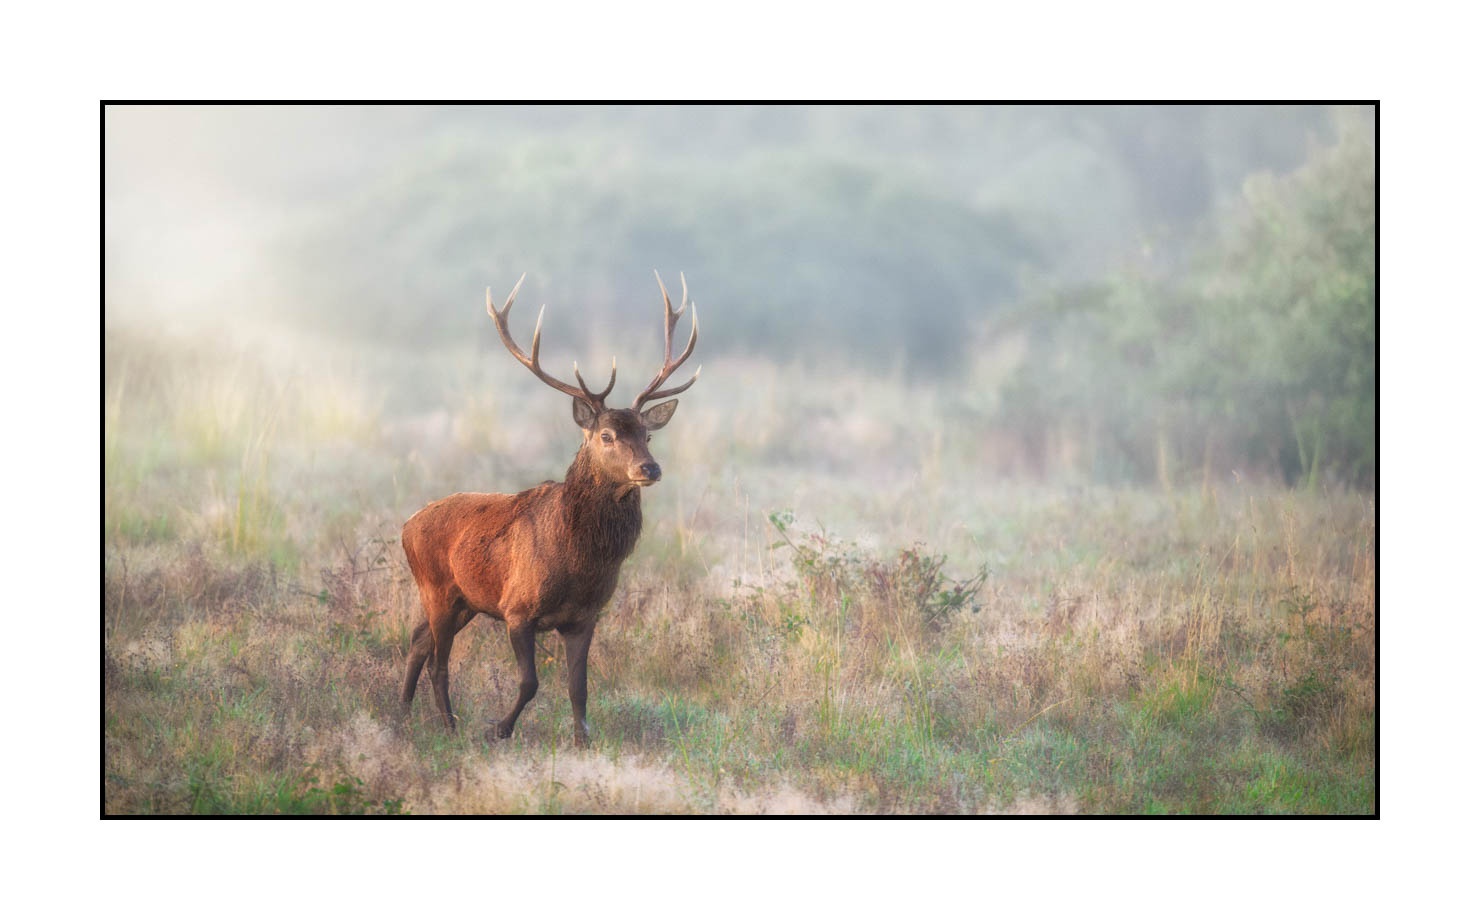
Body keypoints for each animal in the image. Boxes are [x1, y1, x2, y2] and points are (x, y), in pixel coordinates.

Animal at [400, 272, 700, 747]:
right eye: (607, 436)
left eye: (647, 435)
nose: (649, 468)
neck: (579, 562)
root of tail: (406, 526)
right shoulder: (517, 609)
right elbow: (530, 682)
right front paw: (498, 729)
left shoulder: (584, 617)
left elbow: (579, 687)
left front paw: (583, 743)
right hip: (437, 588)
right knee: (437, 661)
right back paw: (449, 726)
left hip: (464, 600)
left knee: (416, 641)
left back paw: (401, 715)